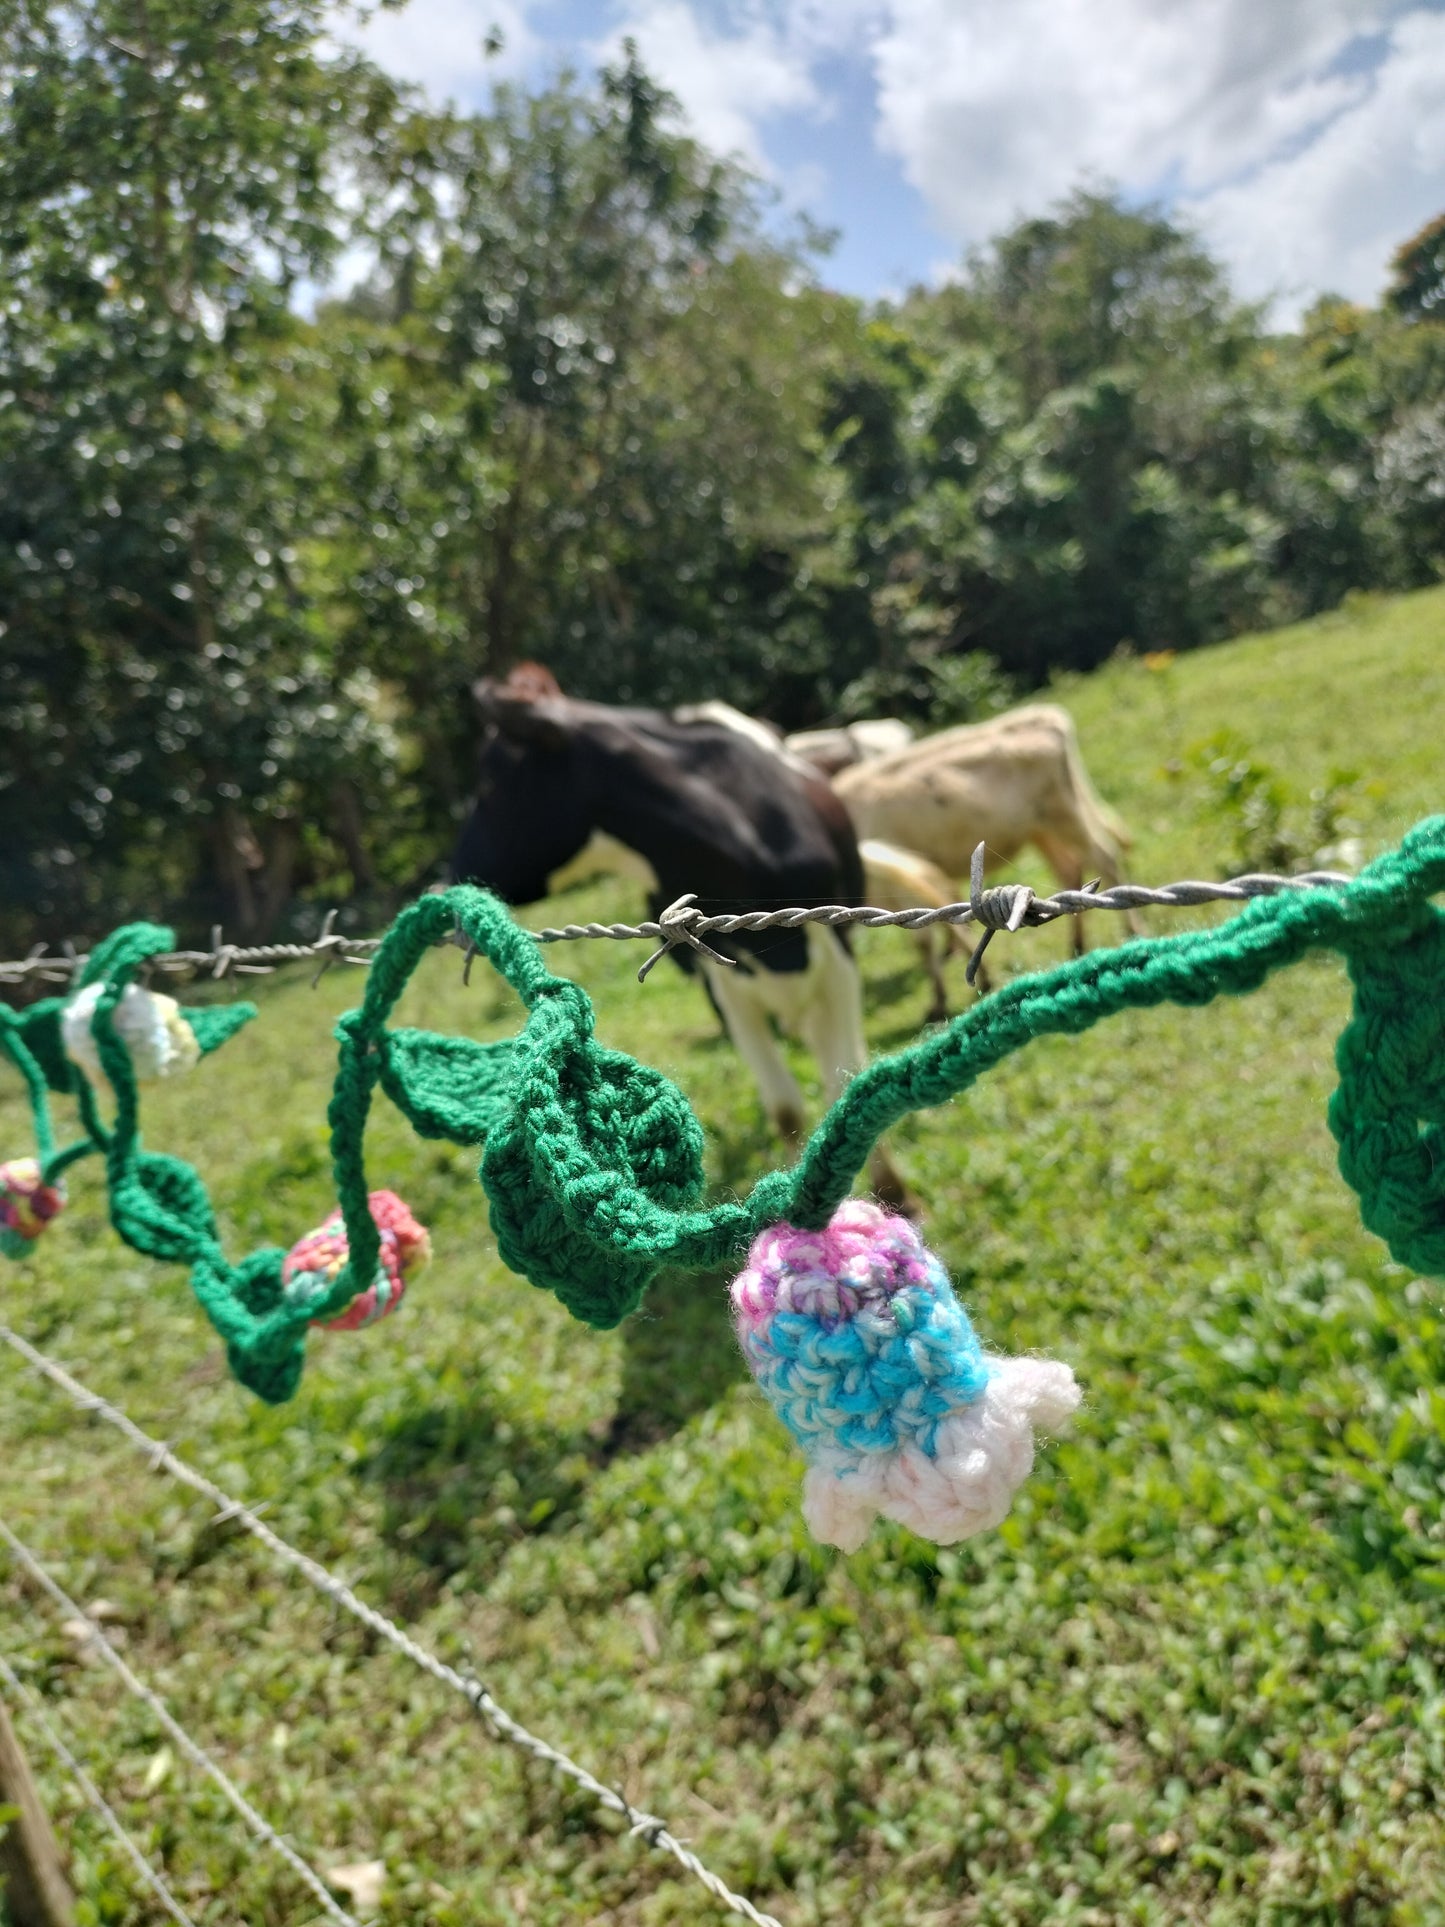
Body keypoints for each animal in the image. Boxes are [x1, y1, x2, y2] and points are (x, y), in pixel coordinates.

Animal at [452, 670, 905, 1194]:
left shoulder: (838, 957)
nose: (449, 875)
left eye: (488, 780)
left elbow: (845, 1079)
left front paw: (893, 1193)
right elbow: (786, 1108)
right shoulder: (727, 985)